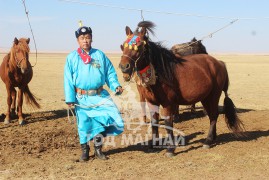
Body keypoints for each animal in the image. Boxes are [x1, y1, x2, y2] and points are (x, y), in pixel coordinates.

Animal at [118, 20, 244, 156]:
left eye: (139, 46)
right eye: (123, 45)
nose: (124, 67)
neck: (159, 73)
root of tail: (219, 63)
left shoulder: (167, 103)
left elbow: (168, 123)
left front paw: (170, 148)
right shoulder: (152, 102)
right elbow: (154, 123)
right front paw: (153, 145)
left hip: (214, 96)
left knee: (214, 115)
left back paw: (208, 141)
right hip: (205, 98)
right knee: (211, 116)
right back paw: (213, 137)